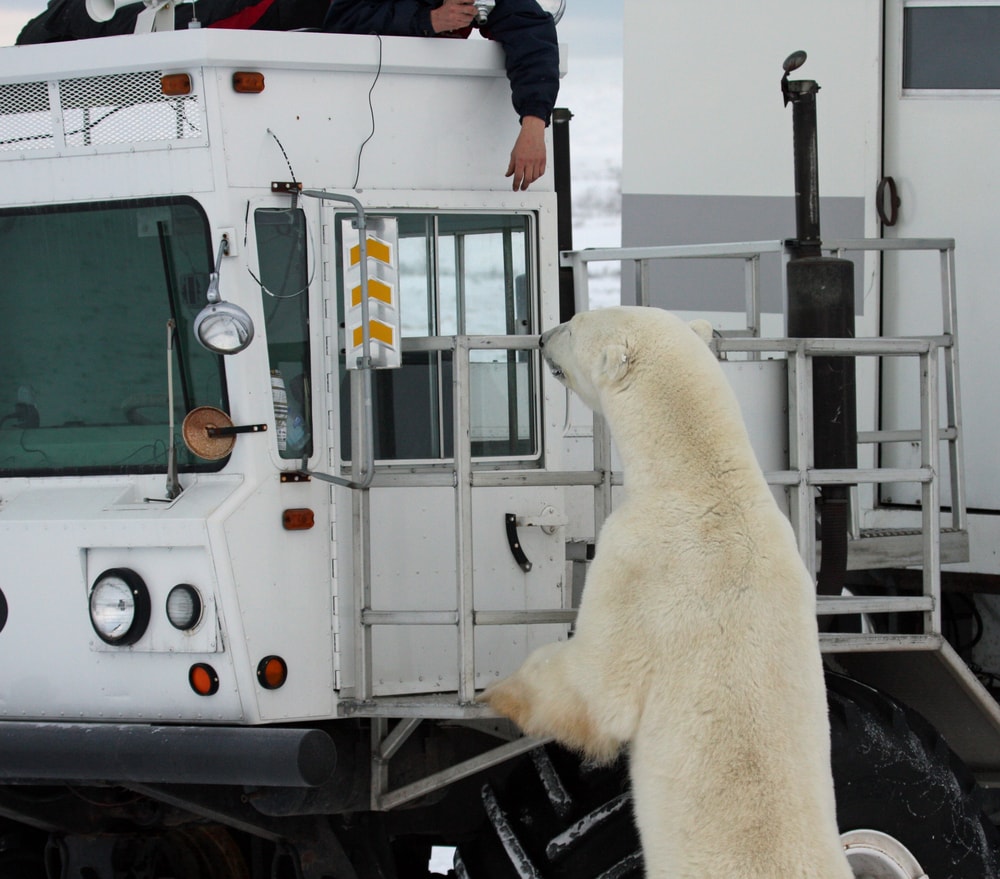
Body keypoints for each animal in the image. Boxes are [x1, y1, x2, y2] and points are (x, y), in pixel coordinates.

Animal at [480, 306, 853, 879]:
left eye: (574, 321)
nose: (542, 337)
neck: (704, 480)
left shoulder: (639, 562)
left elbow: (597, 687)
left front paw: (499, 693)